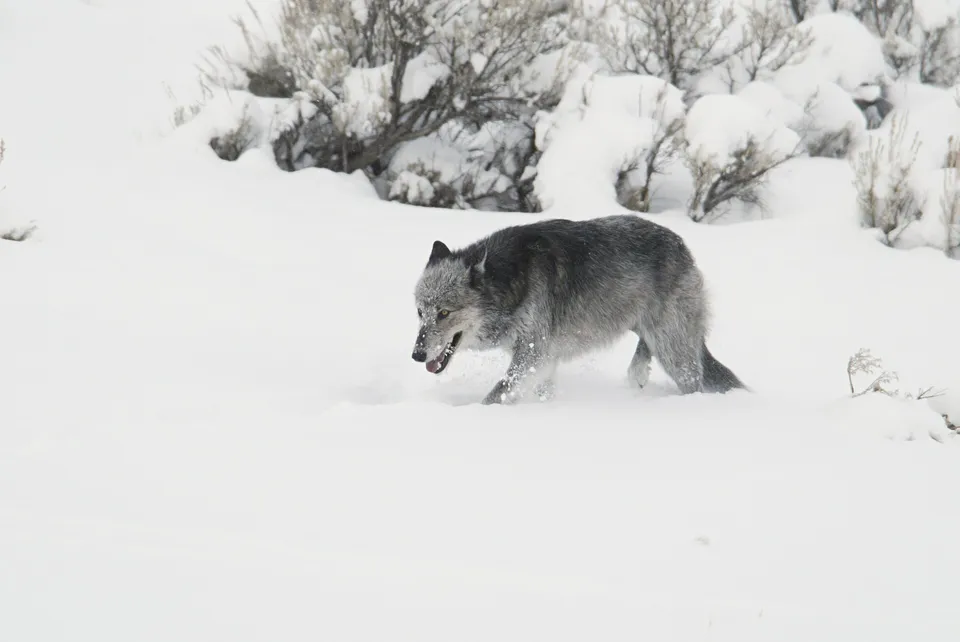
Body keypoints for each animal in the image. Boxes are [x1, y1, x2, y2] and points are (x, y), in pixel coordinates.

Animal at [411, 214, 745, 405]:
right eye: (420, 312)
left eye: (444, 313)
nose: (416, 355)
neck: (511, 280)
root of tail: (683, 247)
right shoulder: (542, 360)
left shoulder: (534, 355)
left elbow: (495, 395)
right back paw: (637, 375)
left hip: (674, 352)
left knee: (693, 382)